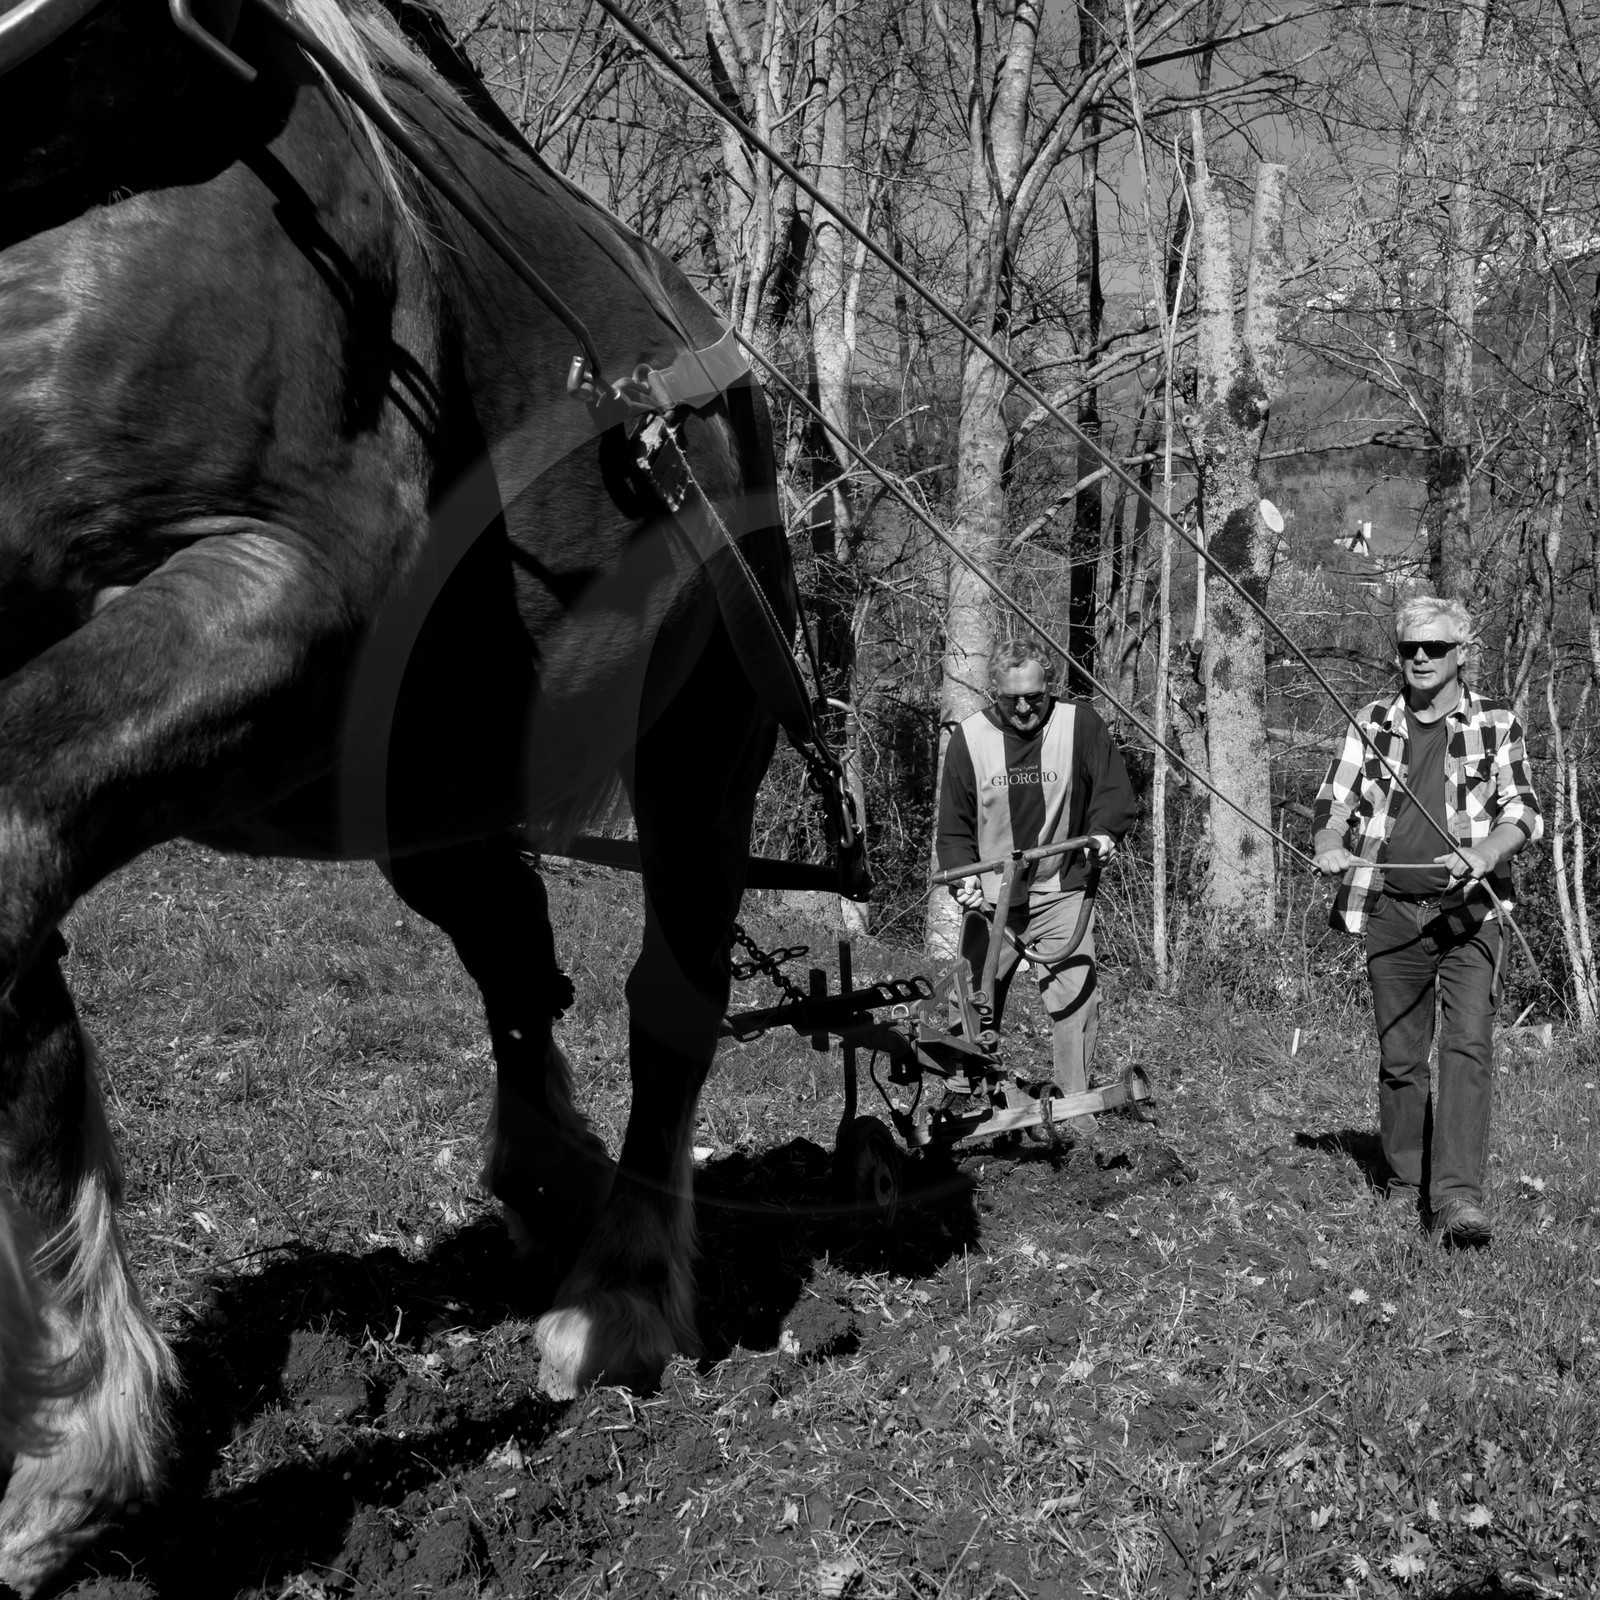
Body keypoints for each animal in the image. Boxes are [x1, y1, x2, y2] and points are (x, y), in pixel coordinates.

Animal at [0, 0, 797, 1586]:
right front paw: (78, 1438)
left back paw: (620, 1290)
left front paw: (77, 1455)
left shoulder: (288, 592)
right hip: (421, 779)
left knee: (669, 1004)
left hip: (709, 736)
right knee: (511, 947)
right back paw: (542, 1172)